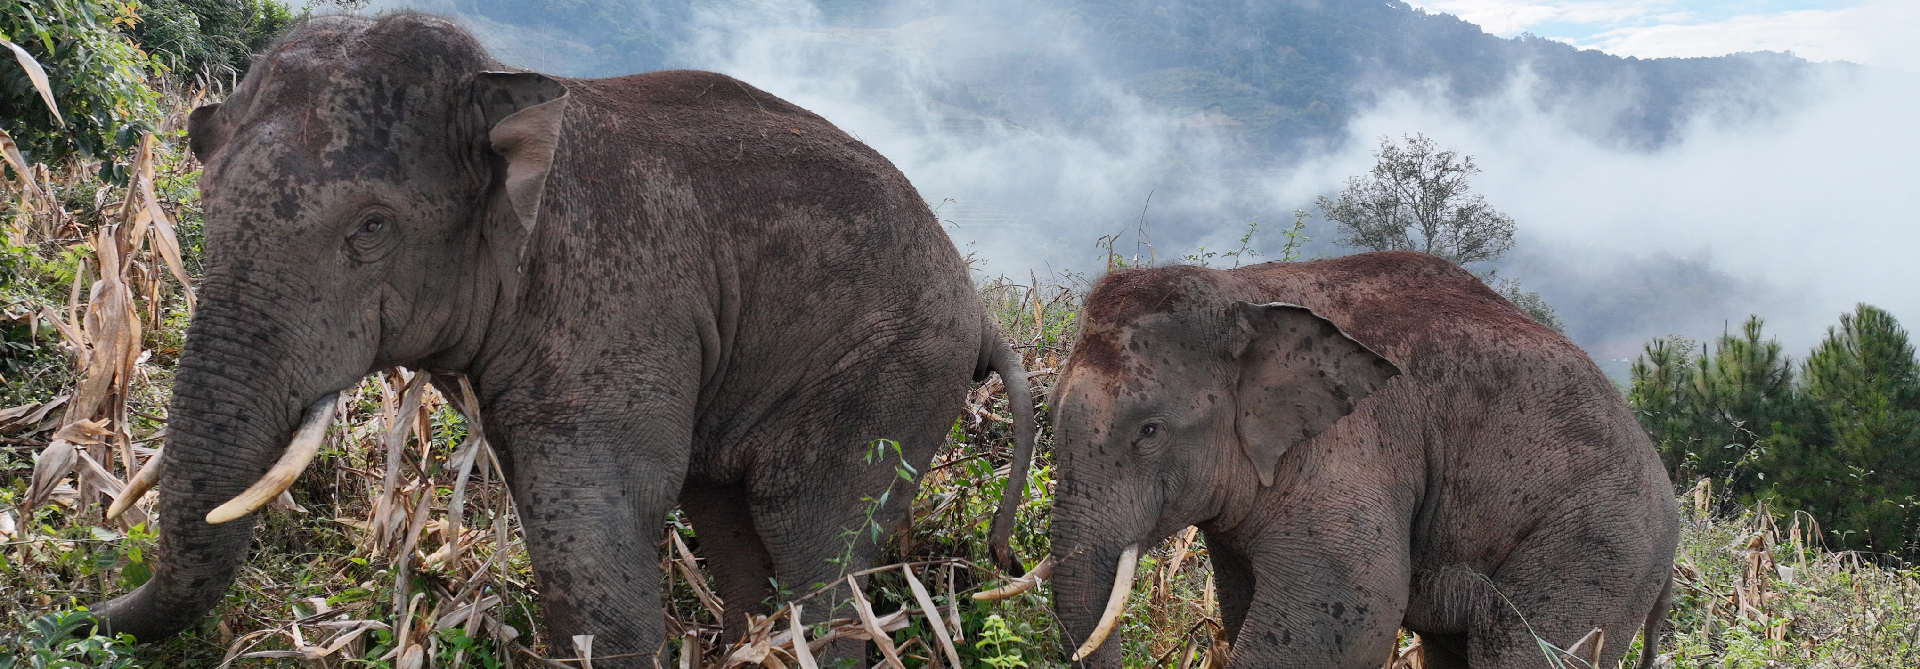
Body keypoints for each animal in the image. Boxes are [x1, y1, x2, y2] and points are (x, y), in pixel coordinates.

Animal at [93, 14, 1036, 665]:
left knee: (807, 531)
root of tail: (983, 311)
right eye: (205, 204)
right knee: (735, 523)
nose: (85, 610)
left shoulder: (615, 299)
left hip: (892, 372)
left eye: (370, 227)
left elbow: (596, 506)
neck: (509, 89)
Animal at [1044, 251, 1674, 669]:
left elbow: (1351, 607)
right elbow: (1244, 600)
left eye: (1149, 431)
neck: (1243, 293)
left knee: (1525, 648)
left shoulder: (1349, 453)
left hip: (1600, 547)